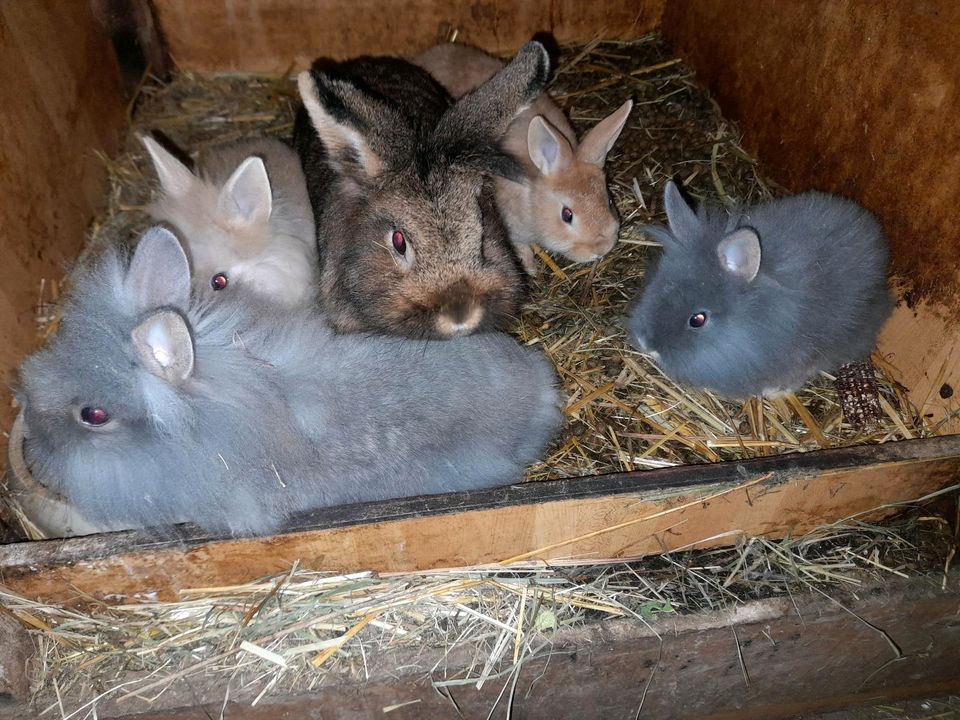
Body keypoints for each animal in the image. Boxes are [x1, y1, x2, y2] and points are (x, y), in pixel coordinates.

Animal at [410, 43, 632, 272]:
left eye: (609, 200)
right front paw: (530, 268)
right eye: (567, 215)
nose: (602, 248)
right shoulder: (512, 225)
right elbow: (520, 245)